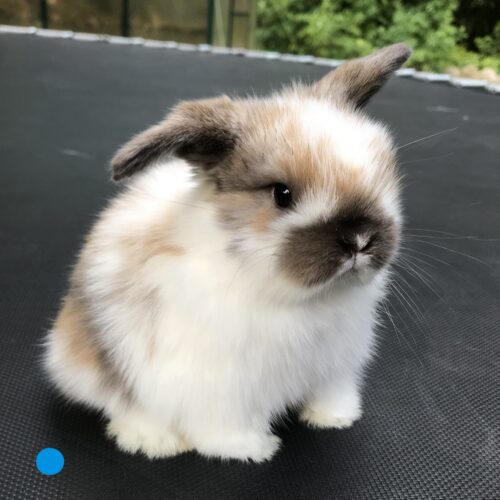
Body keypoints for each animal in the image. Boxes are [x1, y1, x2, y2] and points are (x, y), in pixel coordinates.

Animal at [44, 43, 410, 460]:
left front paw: (335, 417)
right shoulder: (223, 385)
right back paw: (154, 441)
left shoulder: (335, 366)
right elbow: (226, 424)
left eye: (382, 174)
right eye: (282, 194)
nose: (360, 238)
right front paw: (252, 449)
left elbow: (330, 393)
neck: (301, 298)